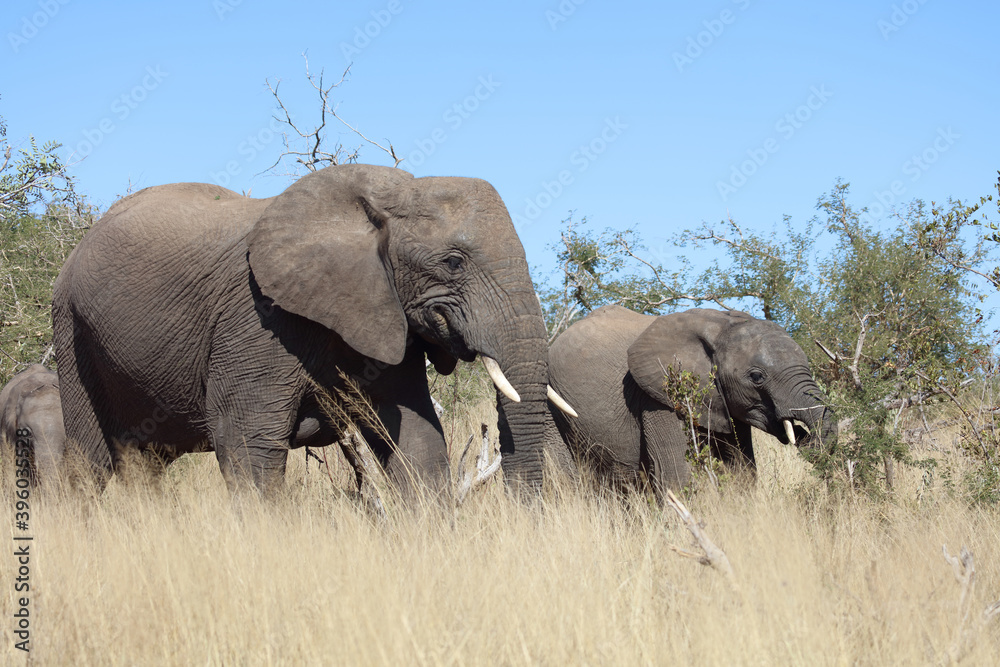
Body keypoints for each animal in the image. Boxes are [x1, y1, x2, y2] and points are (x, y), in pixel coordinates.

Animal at [52, 164, 574, 497]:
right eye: (453, 262)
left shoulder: (382, 313)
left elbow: (416, 436)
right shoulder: (257, 318)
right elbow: (247, 443)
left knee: (146, 467)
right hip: (71, 328)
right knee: (89, 462)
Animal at [527, 305, 836, 498]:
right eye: (757, 377)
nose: (806, 437)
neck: (721, 325)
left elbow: (741, 472)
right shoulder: (657, 395)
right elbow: (675, 475)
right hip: (551, 406)